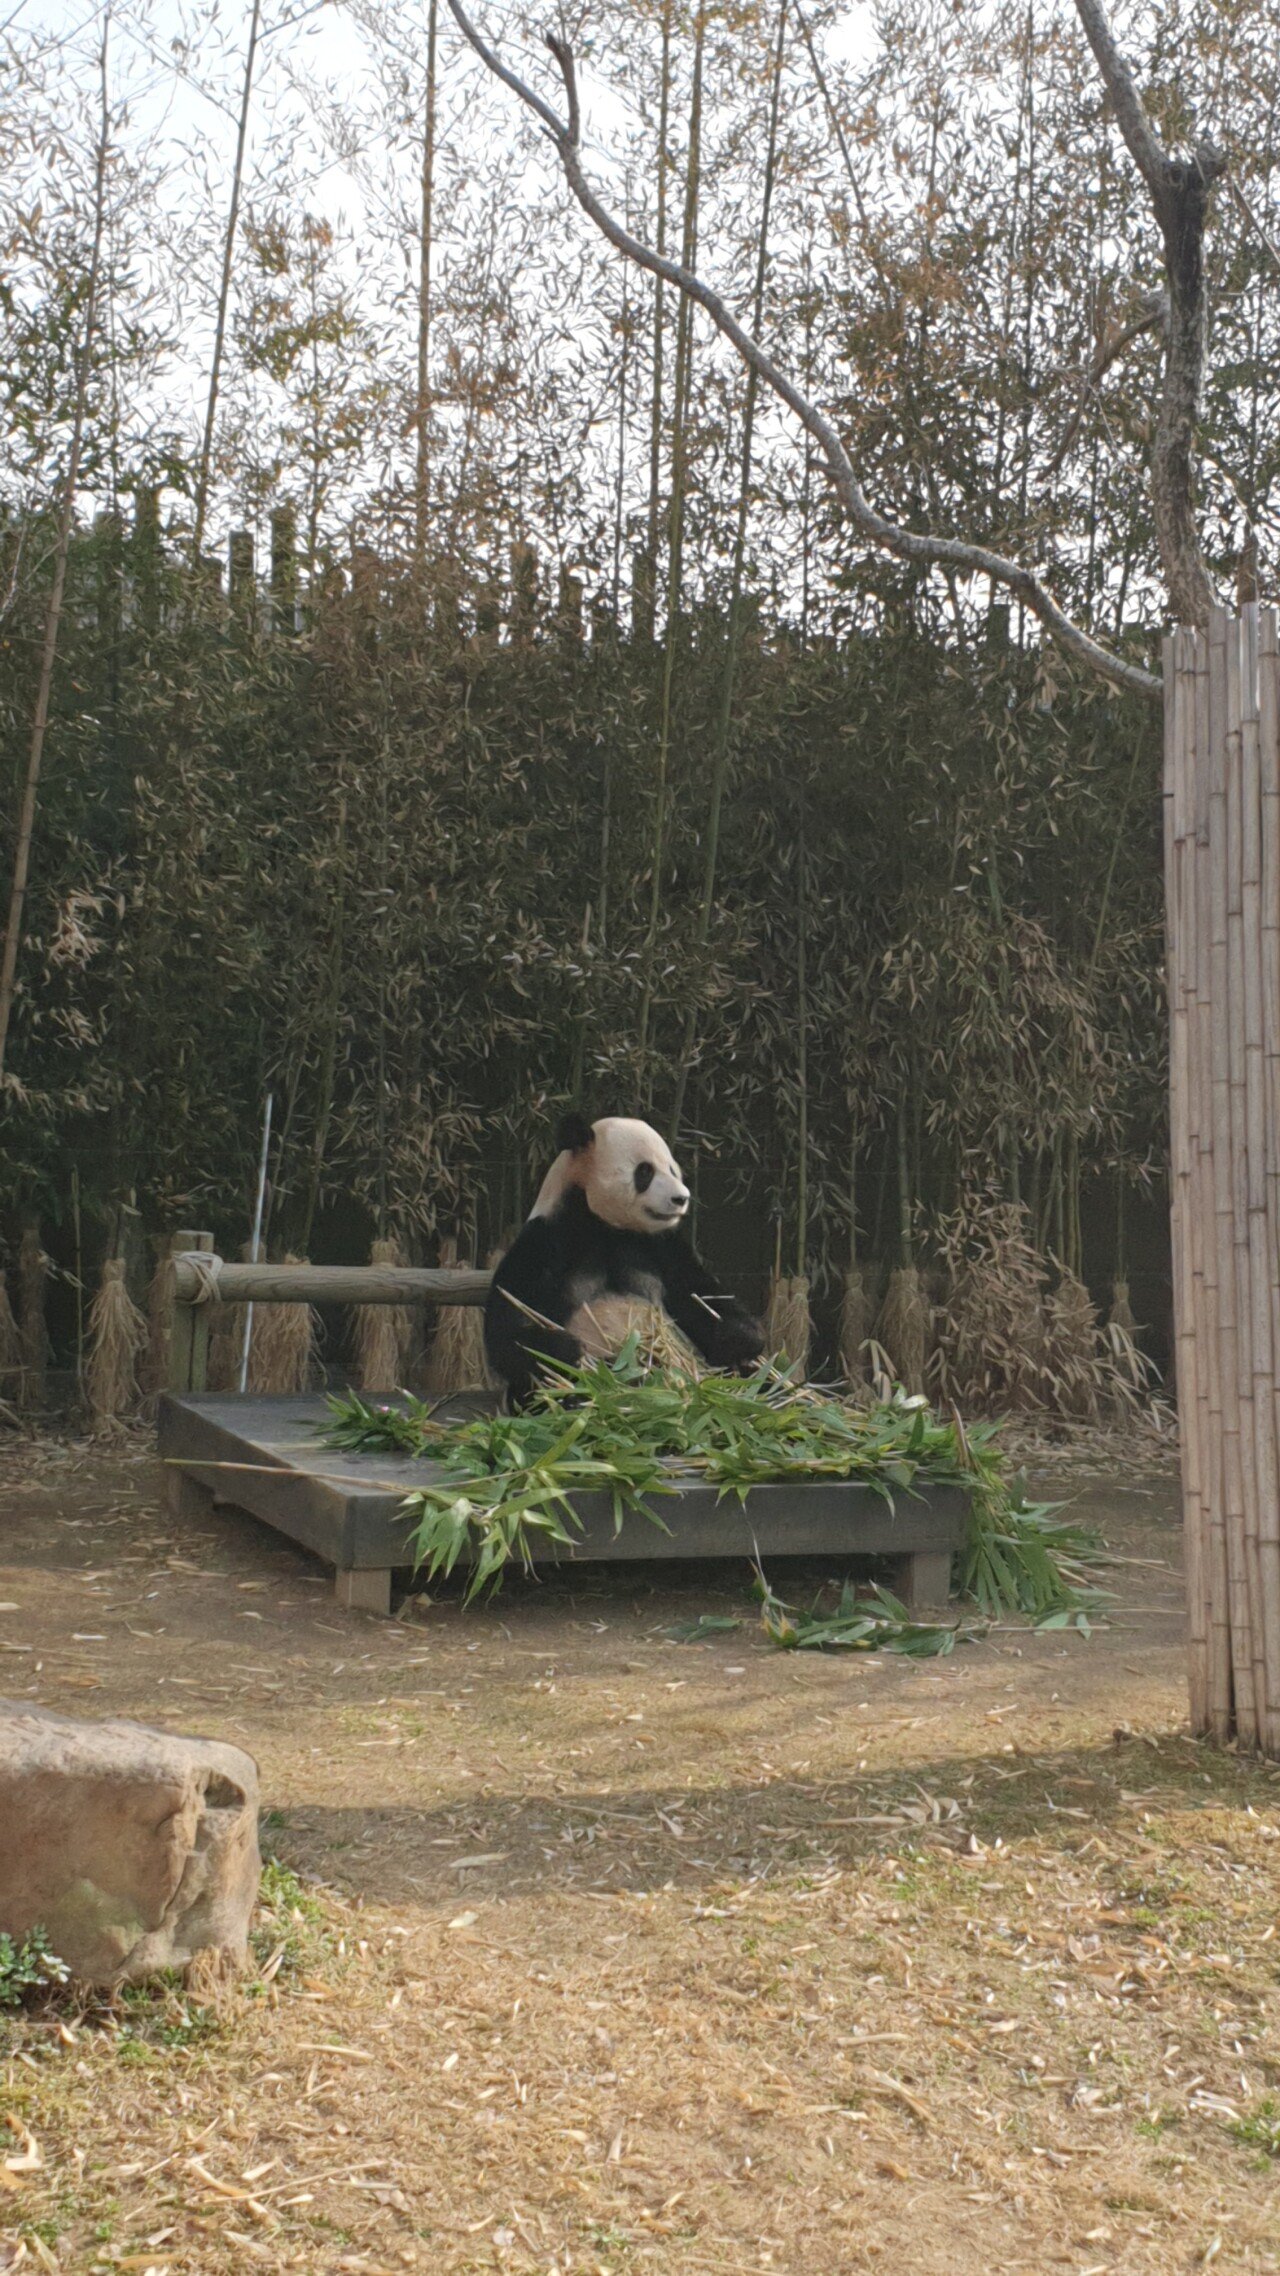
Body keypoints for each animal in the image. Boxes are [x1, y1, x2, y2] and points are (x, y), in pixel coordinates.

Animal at [478, 1106, 756, 1402]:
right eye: (645, 1172)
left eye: (672, 1169)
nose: (681, 1198)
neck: (605, 1224)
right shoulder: (545, 1240)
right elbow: (507, 1330)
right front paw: (564, 1348)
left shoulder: (662, 1245)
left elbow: (701, 1295)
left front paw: (737, 1335)